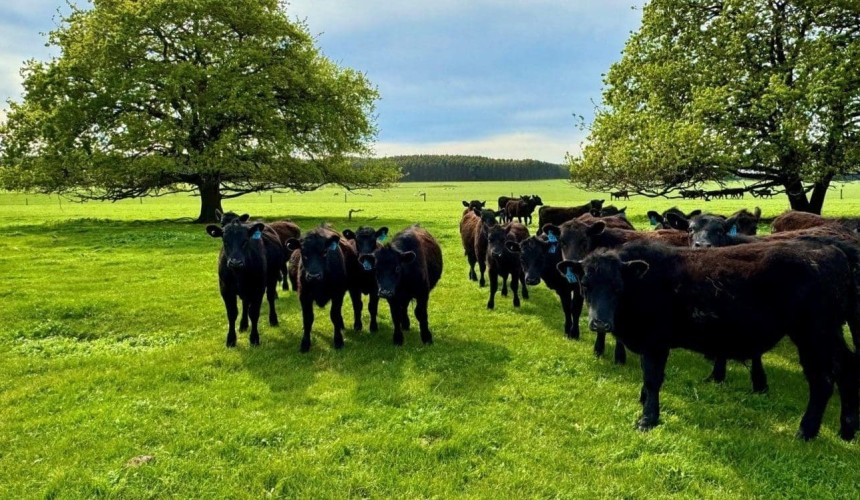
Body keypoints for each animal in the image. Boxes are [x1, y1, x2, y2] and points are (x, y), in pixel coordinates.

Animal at [558, 239, 860, 440]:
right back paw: (847, 429)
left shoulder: (655, 342)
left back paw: (806, 431)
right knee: (847, 369)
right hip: (829, 333)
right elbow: (647, 380)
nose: (600, 323)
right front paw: (643, 403)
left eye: (618, 287)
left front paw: (648, 419)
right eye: (585, 284)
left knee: (822, 380)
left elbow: (652, 378)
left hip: (814, 334)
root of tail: (831, 251)